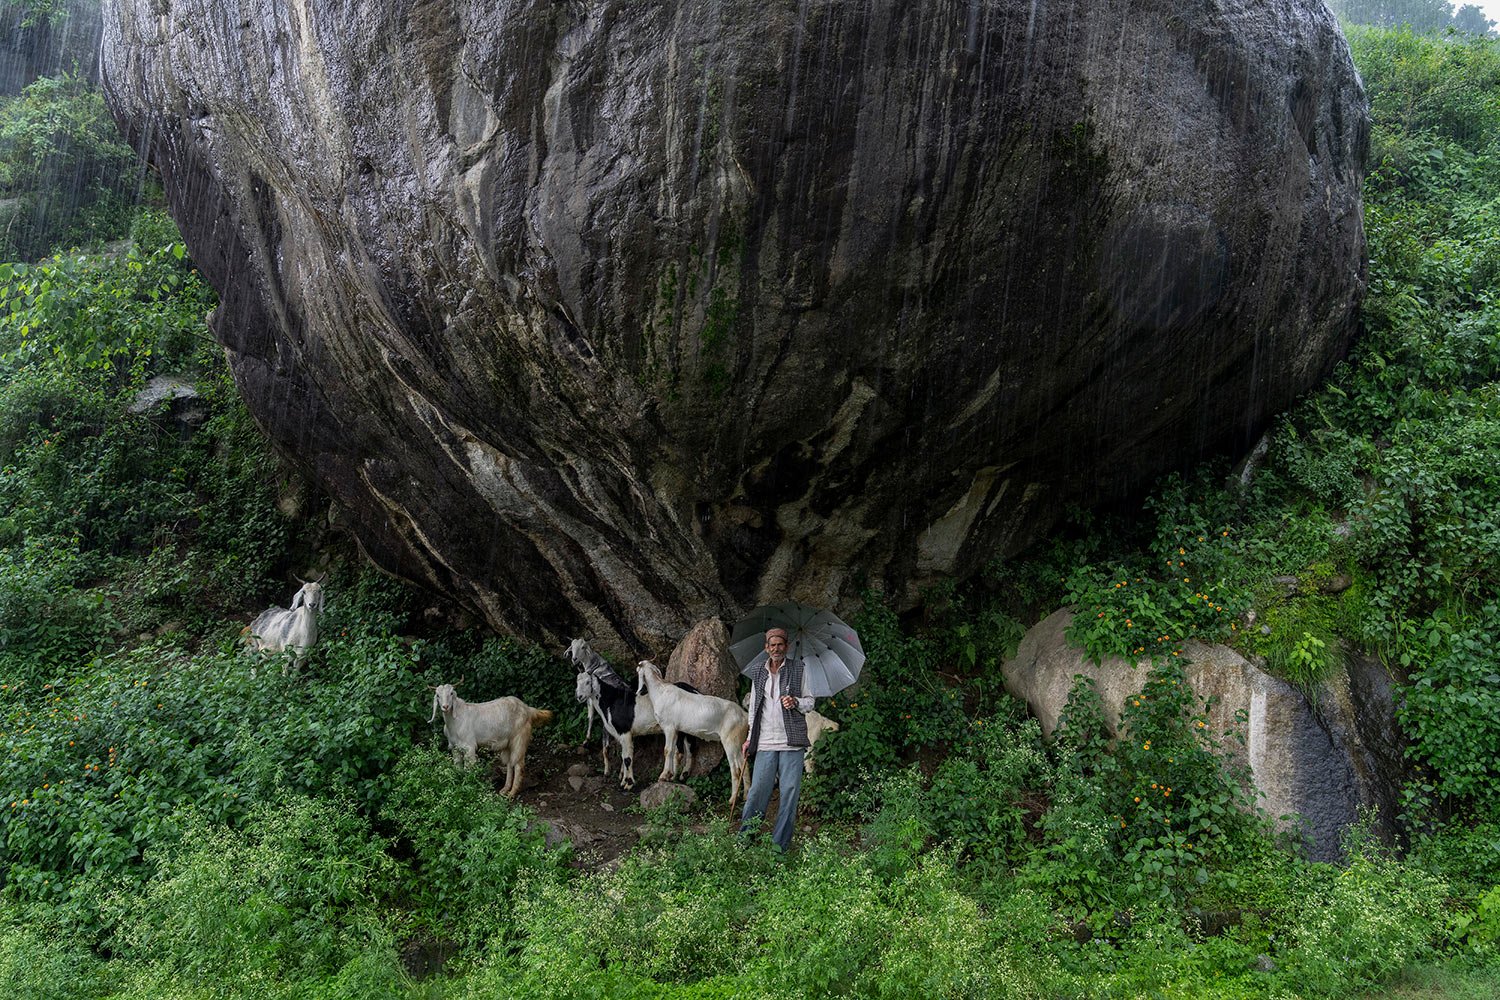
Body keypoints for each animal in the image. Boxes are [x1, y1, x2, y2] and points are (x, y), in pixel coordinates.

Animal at [567, 641, 696, 791]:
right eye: (577, 683)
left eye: (588, 682)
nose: (579, 697)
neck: (611, 700)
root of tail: (694, 690)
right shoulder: (620, 733)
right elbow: (624, 756)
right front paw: (623, 781)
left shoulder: (625, 732)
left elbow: (627, 758)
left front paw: (628, 784)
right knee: (688, 747)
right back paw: (681, 775)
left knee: (681, 750)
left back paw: (673, 776)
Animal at [636, 659, 747, 809]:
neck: (660, 691)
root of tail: (744, 716)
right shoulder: (676, 730)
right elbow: (675, 752)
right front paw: (671, 776)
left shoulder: (669, 727)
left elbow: (667, 750)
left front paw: (663, 776)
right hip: (739, 742)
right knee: (745, 767)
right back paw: (746, 796)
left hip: (730, 741)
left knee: (736, 770)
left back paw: (732, 800)